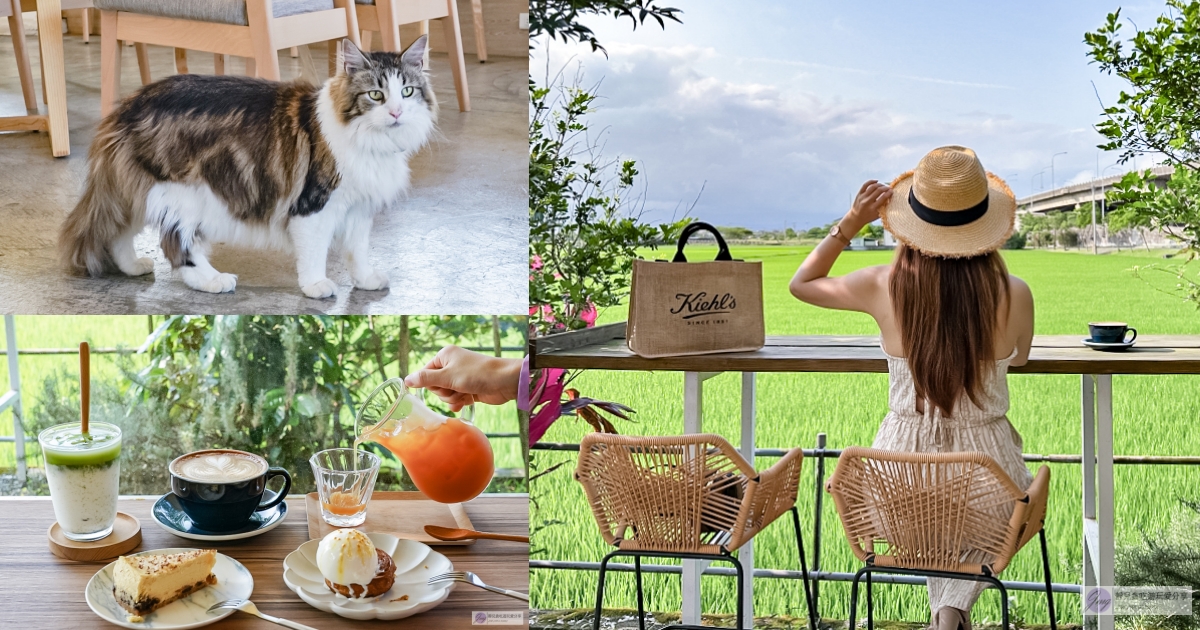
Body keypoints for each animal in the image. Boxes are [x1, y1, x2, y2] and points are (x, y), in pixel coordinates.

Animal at [58, 36, 439, 297]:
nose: (396, 112)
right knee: (177, 247)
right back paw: (213, 280)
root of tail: (129, 104)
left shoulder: (359, 209)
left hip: (141, 190)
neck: (369, 142)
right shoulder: (314, 206)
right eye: (375, 95)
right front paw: (316, 286)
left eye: (407, 91)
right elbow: (315, 253)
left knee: (119, 234)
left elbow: (357, 252)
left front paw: (365, 281)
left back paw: (133, 266)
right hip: (184, 196)